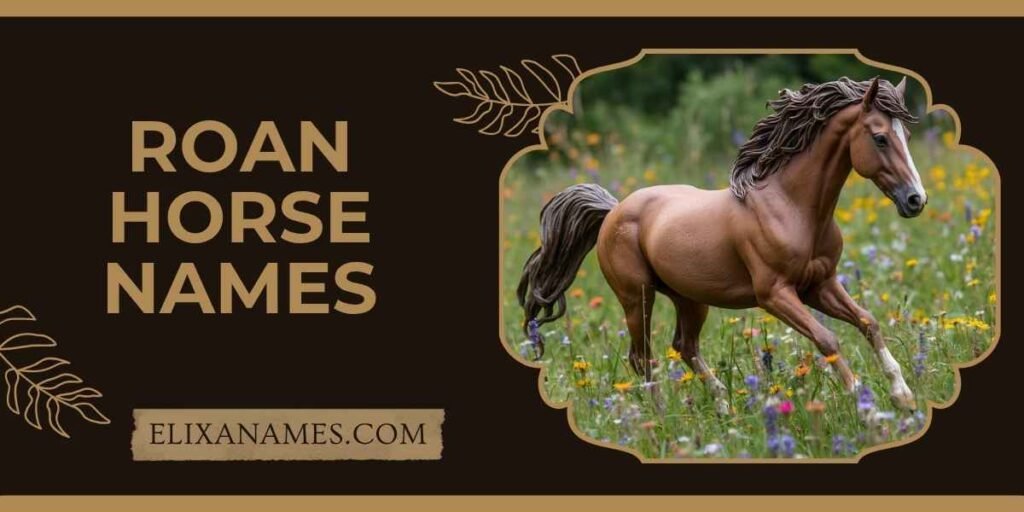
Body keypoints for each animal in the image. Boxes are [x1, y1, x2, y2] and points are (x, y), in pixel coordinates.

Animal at [517, 77, 925, 413]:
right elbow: (828, 340)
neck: (791, 206)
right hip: (637, 299)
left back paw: (723, 407)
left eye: (906, 137)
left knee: (685, 347)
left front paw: (903, 396)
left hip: (690, 299)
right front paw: (864, 404)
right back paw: (662, 419)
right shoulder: (775, 294)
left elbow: (868, 322)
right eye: (880, 138)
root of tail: (614, 210)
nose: (915, 200)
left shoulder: (819, 286)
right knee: (642, 357)